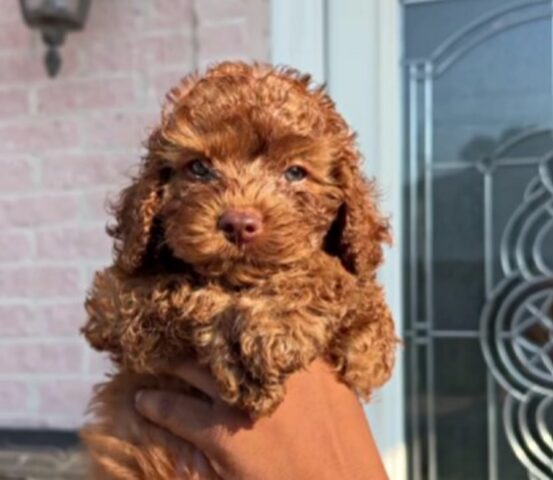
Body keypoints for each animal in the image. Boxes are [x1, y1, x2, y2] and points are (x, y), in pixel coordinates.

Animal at [80, 62, 394, 478]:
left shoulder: (369, 329)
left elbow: (340, 278)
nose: (239, 223)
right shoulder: (111, 299)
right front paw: (238, 356)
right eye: (199, 168)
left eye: (295, 173)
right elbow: (175, 291)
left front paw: (274, 328)